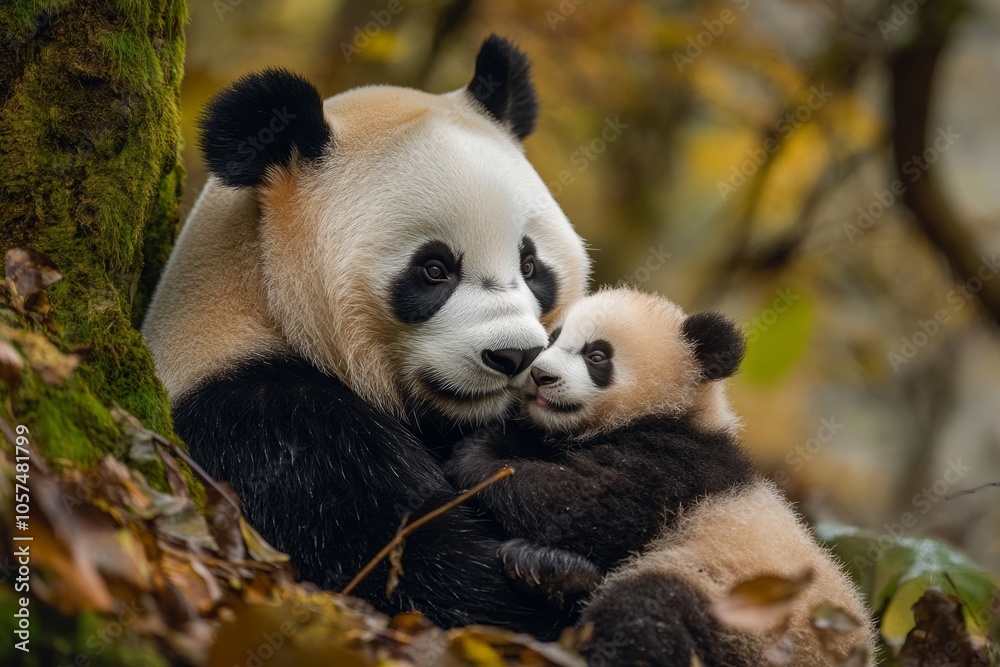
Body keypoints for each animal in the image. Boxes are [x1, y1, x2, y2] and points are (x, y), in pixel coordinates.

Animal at [141, 35, 591, 636]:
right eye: (433, 269)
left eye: (530, 264)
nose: (513, 355)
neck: (258, 296)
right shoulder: (267, 425)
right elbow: (414, 570)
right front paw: (552, 576)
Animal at [444, 287, 876, 666]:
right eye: (552, 338)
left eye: (597, 356)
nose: (539, 375)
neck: (678, 410)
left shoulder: (677, 461)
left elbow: (589, 505)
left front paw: (481, 452)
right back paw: (549, 572)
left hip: (747, 617)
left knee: (645, 611)